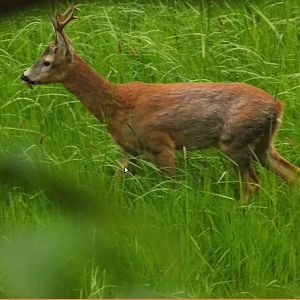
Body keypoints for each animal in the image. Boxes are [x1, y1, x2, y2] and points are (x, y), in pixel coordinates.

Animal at [21, 5, 300, 202]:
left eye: (47, 61)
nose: (25, 76)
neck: (116, 106)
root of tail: (278, 106)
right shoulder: (129, 149)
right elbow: (114, 183)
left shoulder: (160, 142)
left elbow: (171, 187)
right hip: (263, 143)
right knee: (292, 173)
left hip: (236, 140)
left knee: (253, 183)